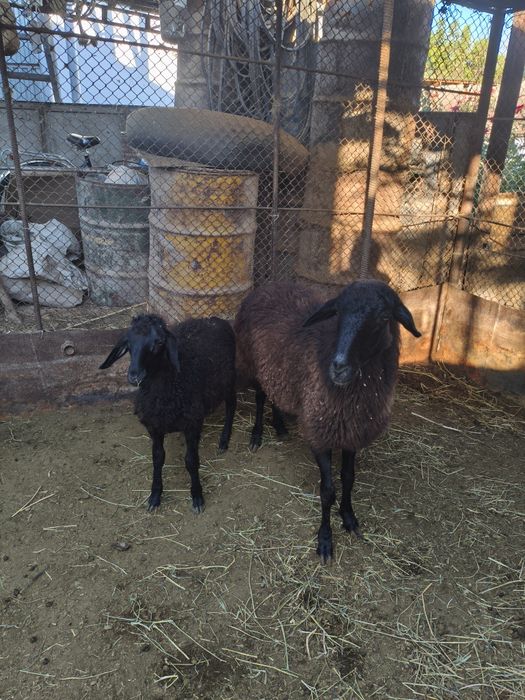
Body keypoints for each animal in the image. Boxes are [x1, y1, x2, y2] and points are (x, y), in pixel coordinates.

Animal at [99, 314, 236, 512]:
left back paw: (224, 440)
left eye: (159, 342)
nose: (134, 376)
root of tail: (213, 318)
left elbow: (191, 460)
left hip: (229, 379)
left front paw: (197, 496)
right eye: (128, 343)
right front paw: (155, 495)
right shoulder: (154, 427)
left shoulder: (192, 423)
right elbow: (158, 458)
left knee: (232, 405)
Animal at [234, 279, 421, 563]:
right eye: (338, 313)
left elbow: (349, 478)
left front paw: (349, 518)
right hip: (252, 363)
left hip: (277, 370)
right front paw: (325, 539)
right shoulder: (319, 432)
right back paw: (257, 434)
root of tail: (269, 285)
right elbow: (327, 491)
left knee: (277, 394)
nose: (338, 366)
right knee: (259, 397)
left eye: (383, 317)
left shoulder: (352, 433)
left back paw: (280, 425)